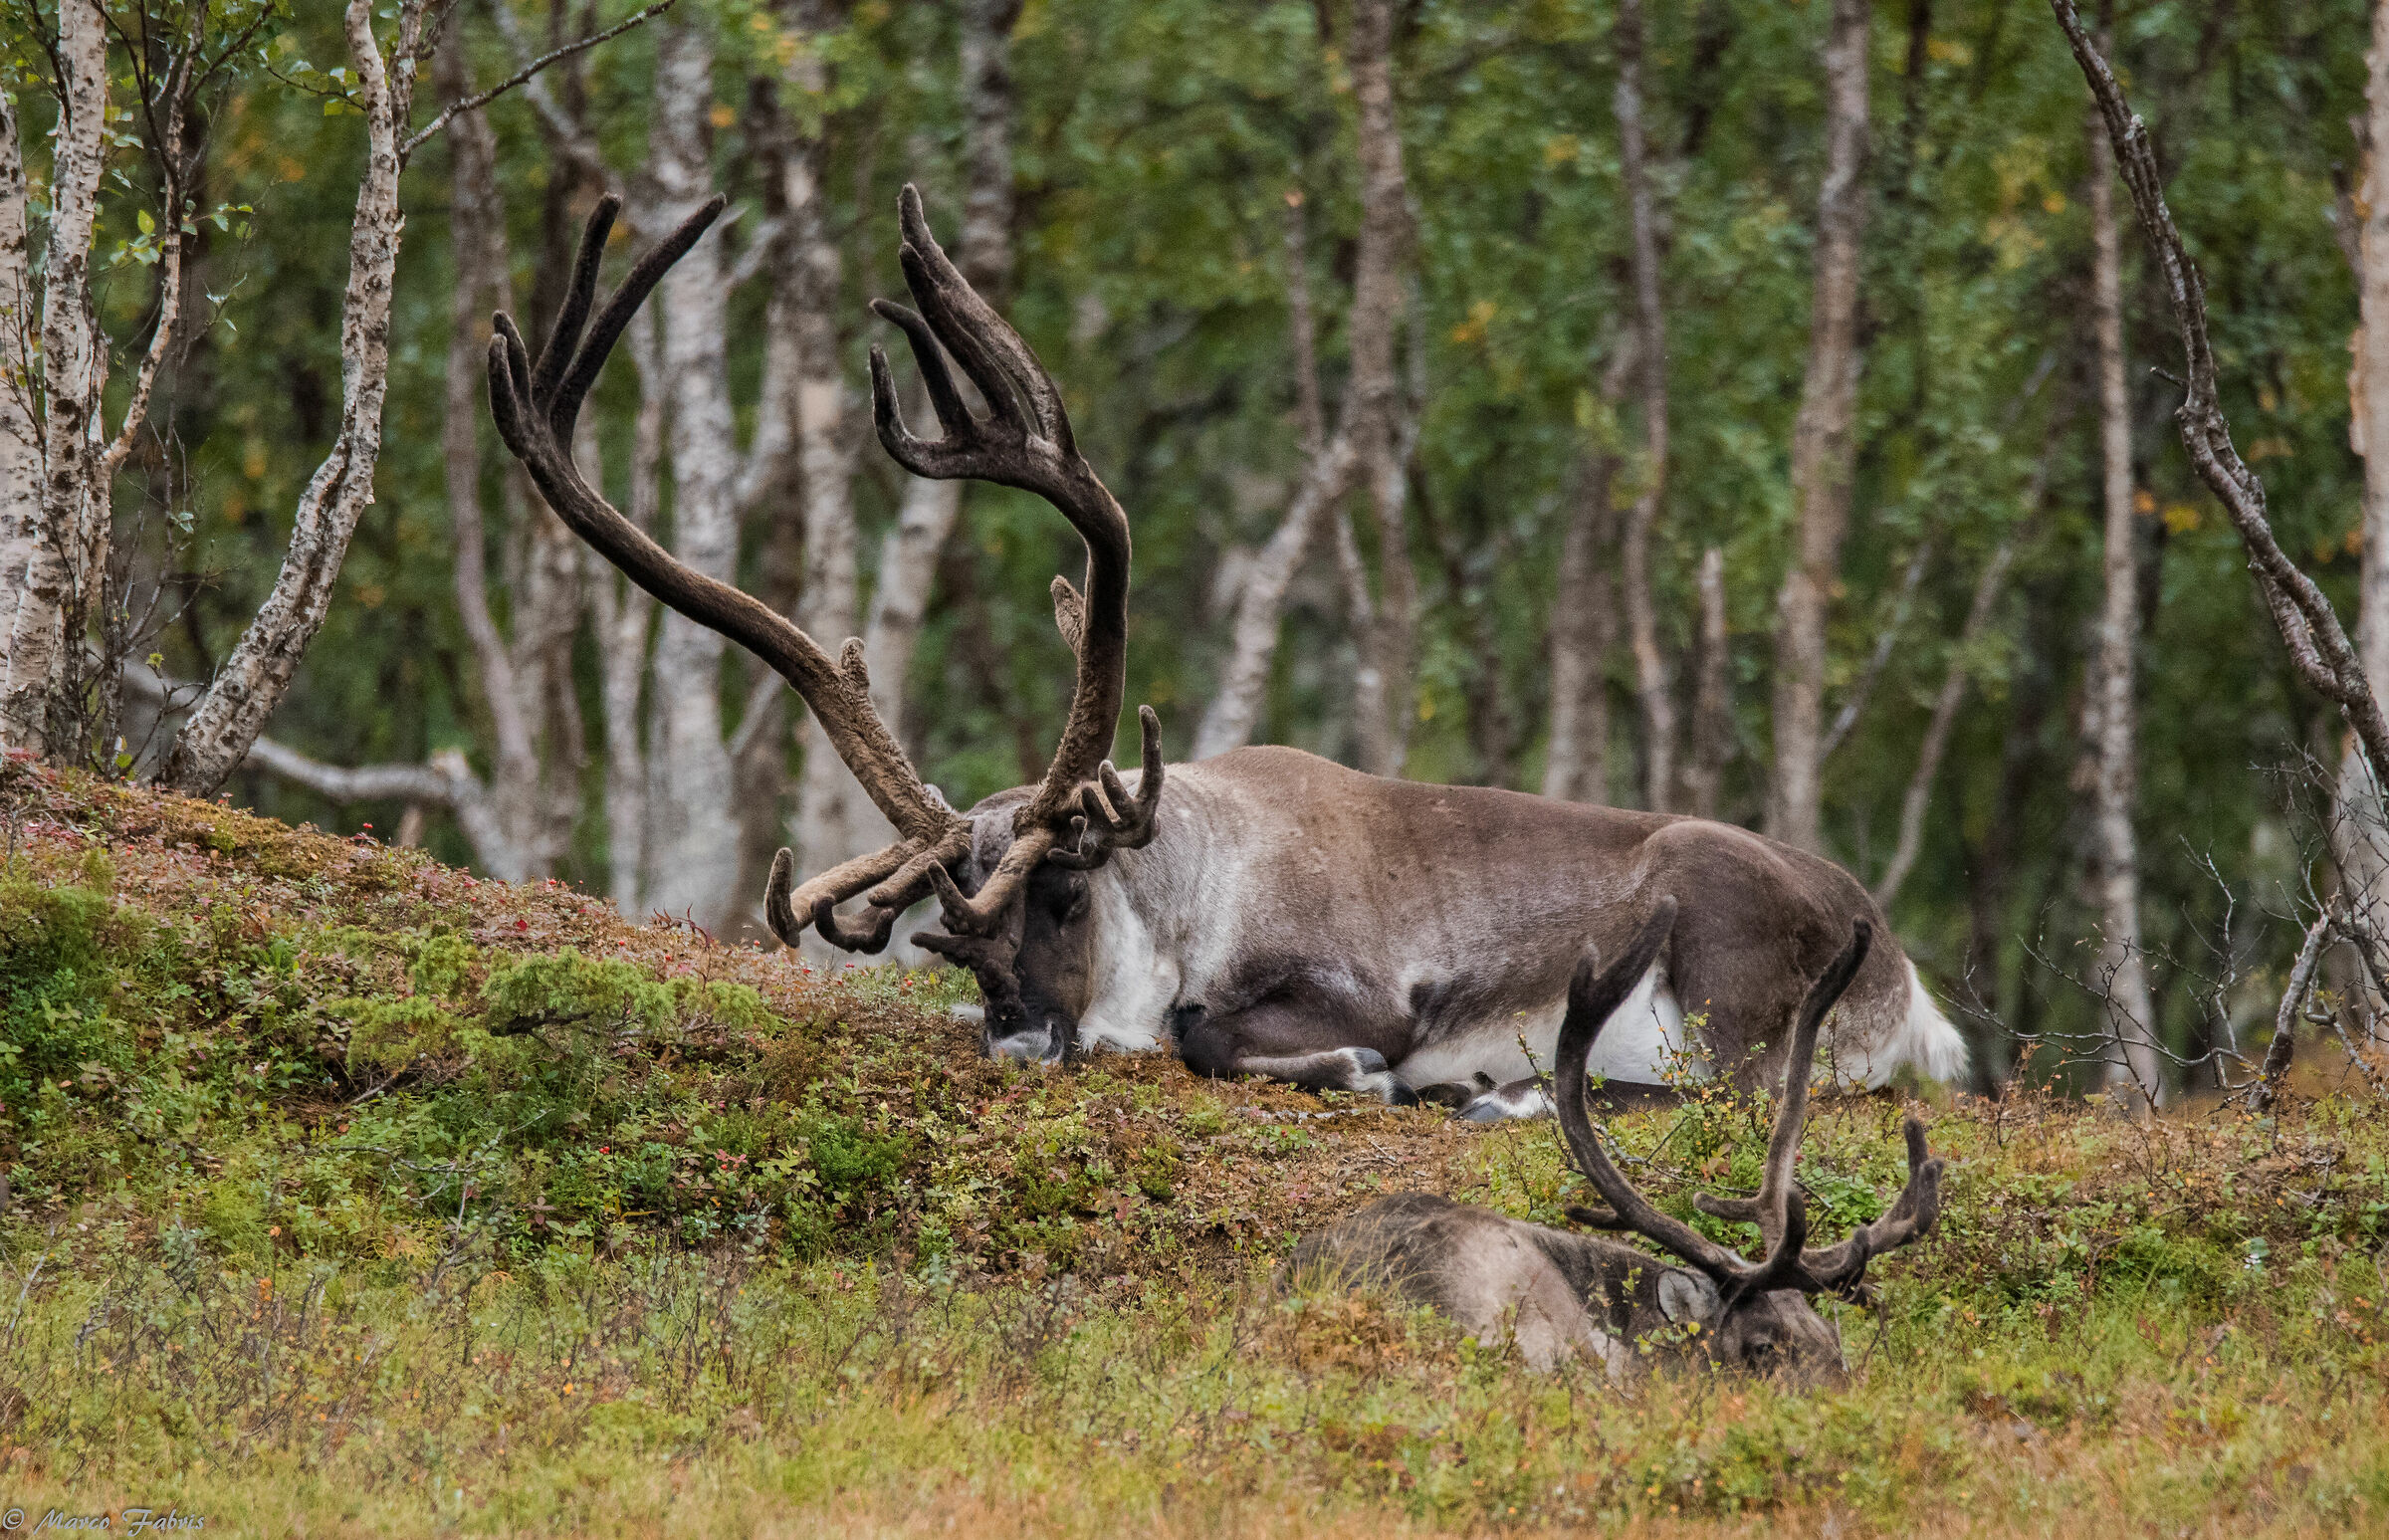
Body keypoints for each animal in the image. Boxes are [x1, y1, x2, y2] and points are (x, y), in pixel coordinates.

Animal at [483, 182, 1969, 1123]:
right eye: (950, 947)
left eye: (1060, 894)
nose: (1020, 1040)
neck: (1182, 880)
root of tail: (1909, 974)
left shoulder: (1365, 985)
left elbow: (1215, 1031)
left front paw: (1375, 1074)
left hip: (1716, 962)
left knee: (1696, 1084)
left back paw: (1495, 1090)